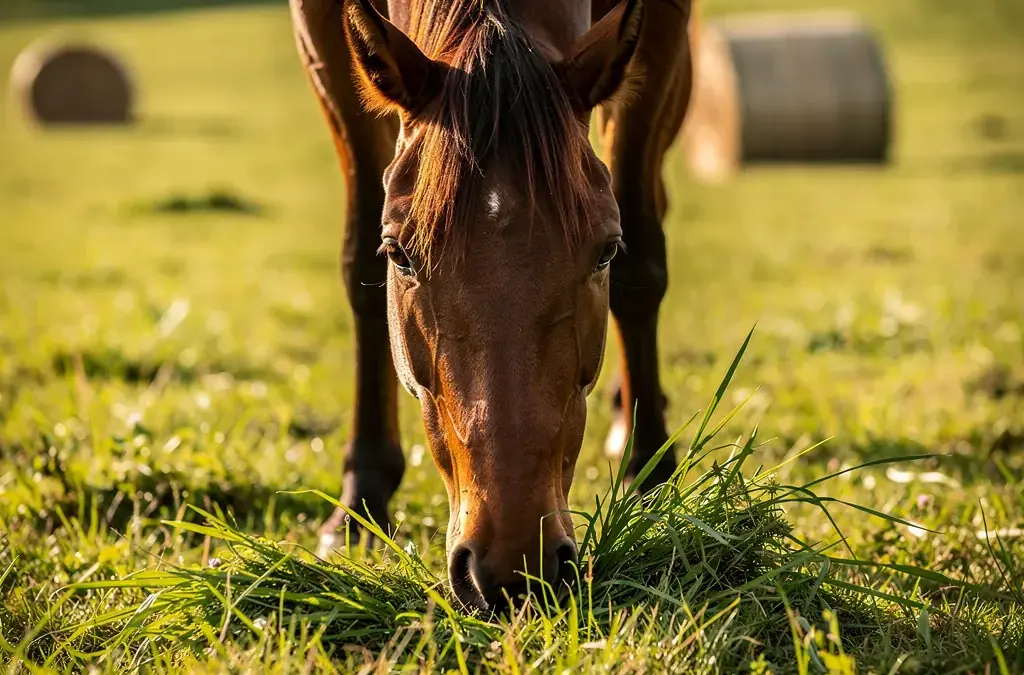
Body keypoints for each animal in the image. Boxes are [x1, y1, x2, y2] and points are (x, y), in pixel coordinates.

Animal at [289, 0, 695, 611]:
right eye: (399, 254)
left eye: (605, 250)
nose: (514, 569)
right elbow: (359, 263)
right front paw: (360, 502)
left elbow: (640, 268)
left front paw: (651, 477)